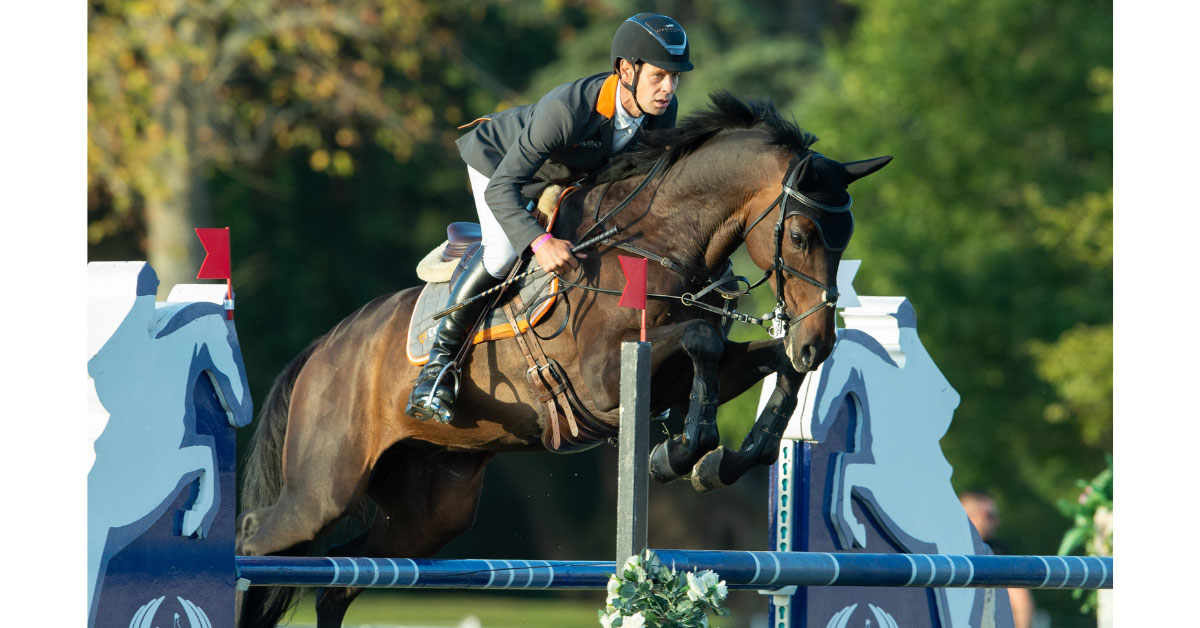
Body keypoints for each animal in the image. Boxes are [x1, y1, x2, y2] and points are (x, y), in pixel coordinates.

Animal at [236, 93, 892, 628]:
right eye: (801, 235)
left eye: (845, 239)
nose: (819, 341)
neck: (655, 241)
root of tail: (321, 350)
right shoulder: (603, 381)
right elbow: (700, 343)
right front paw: (678, 452)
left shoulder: (684, 371)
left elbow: (769, 364)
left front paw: (725, 459)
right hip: (320, 493)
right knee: (254, 547)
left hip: (429, 510)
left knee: (335, 583)